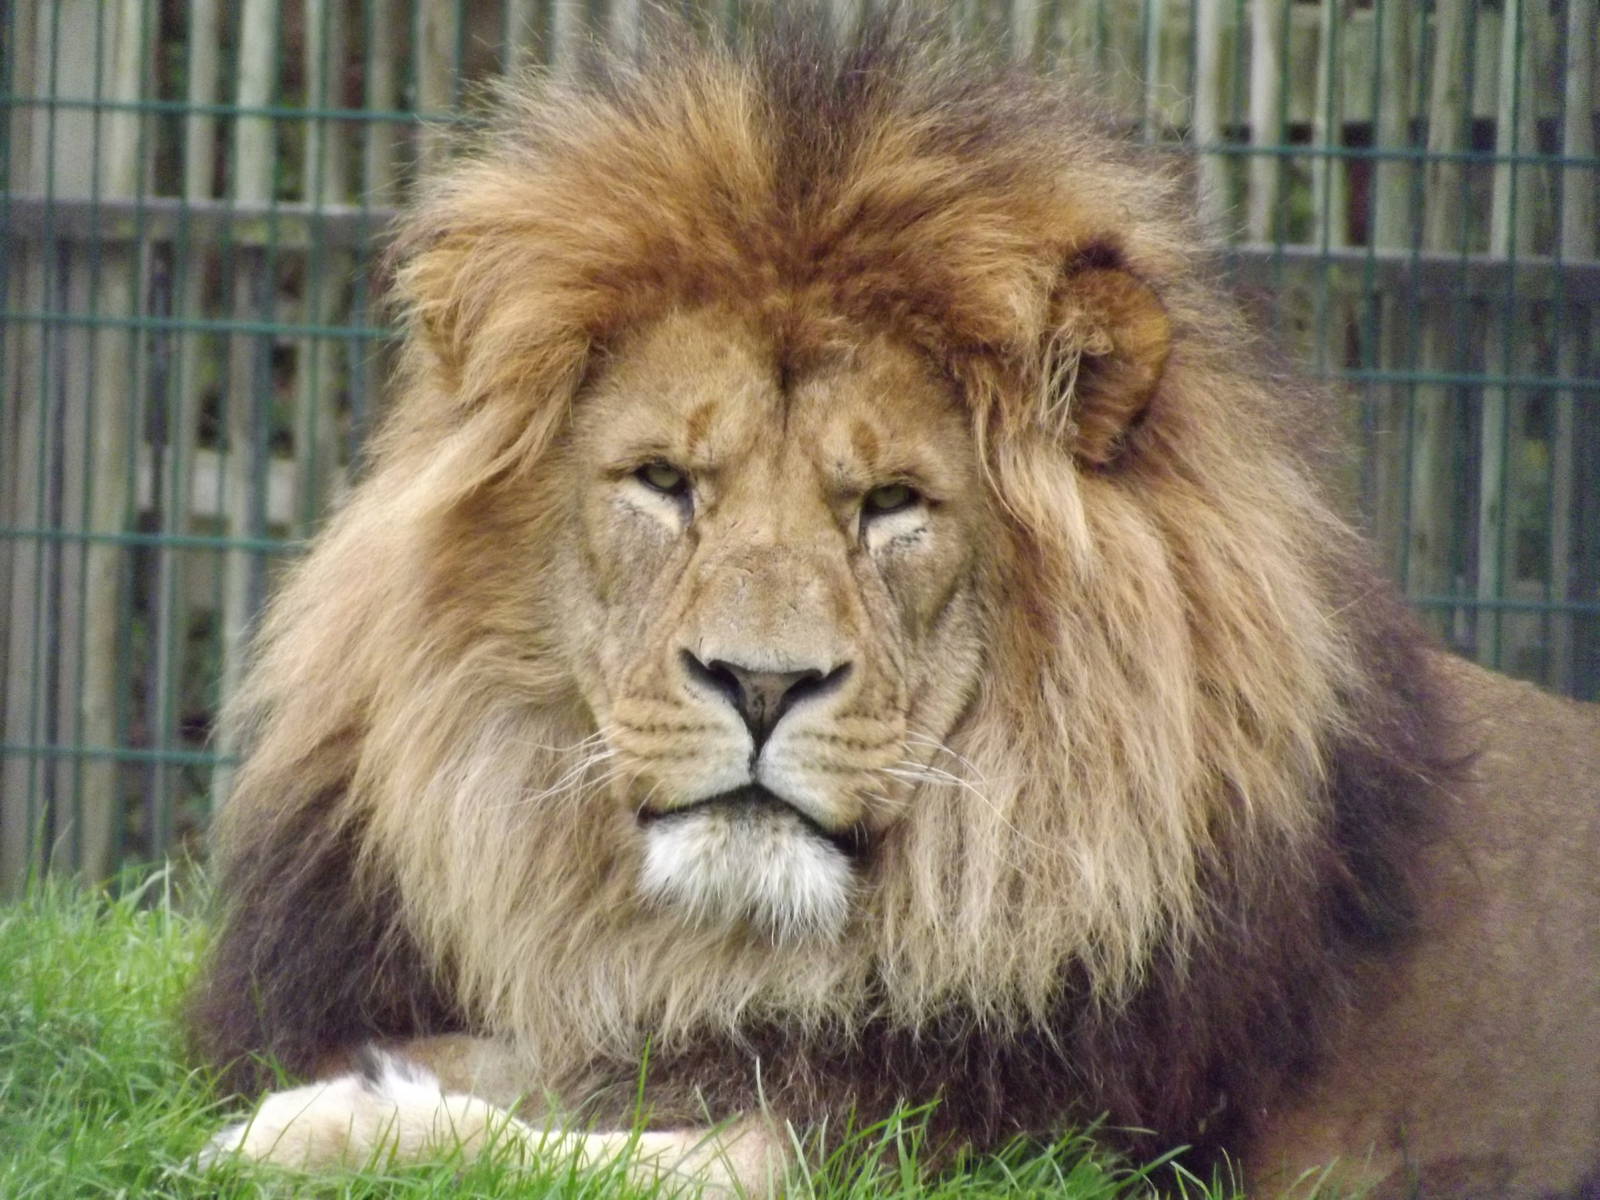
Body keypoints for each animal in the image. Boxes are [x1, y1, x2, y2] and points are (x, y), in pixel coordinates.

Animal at [188, 10, 1600, 1198]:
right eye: (664, 482)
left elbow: (639, 1156)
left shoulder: (1006, 1145)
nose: (761, 684)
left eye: (890, 503)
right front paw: (320, 1101)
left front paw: (327, 1130)